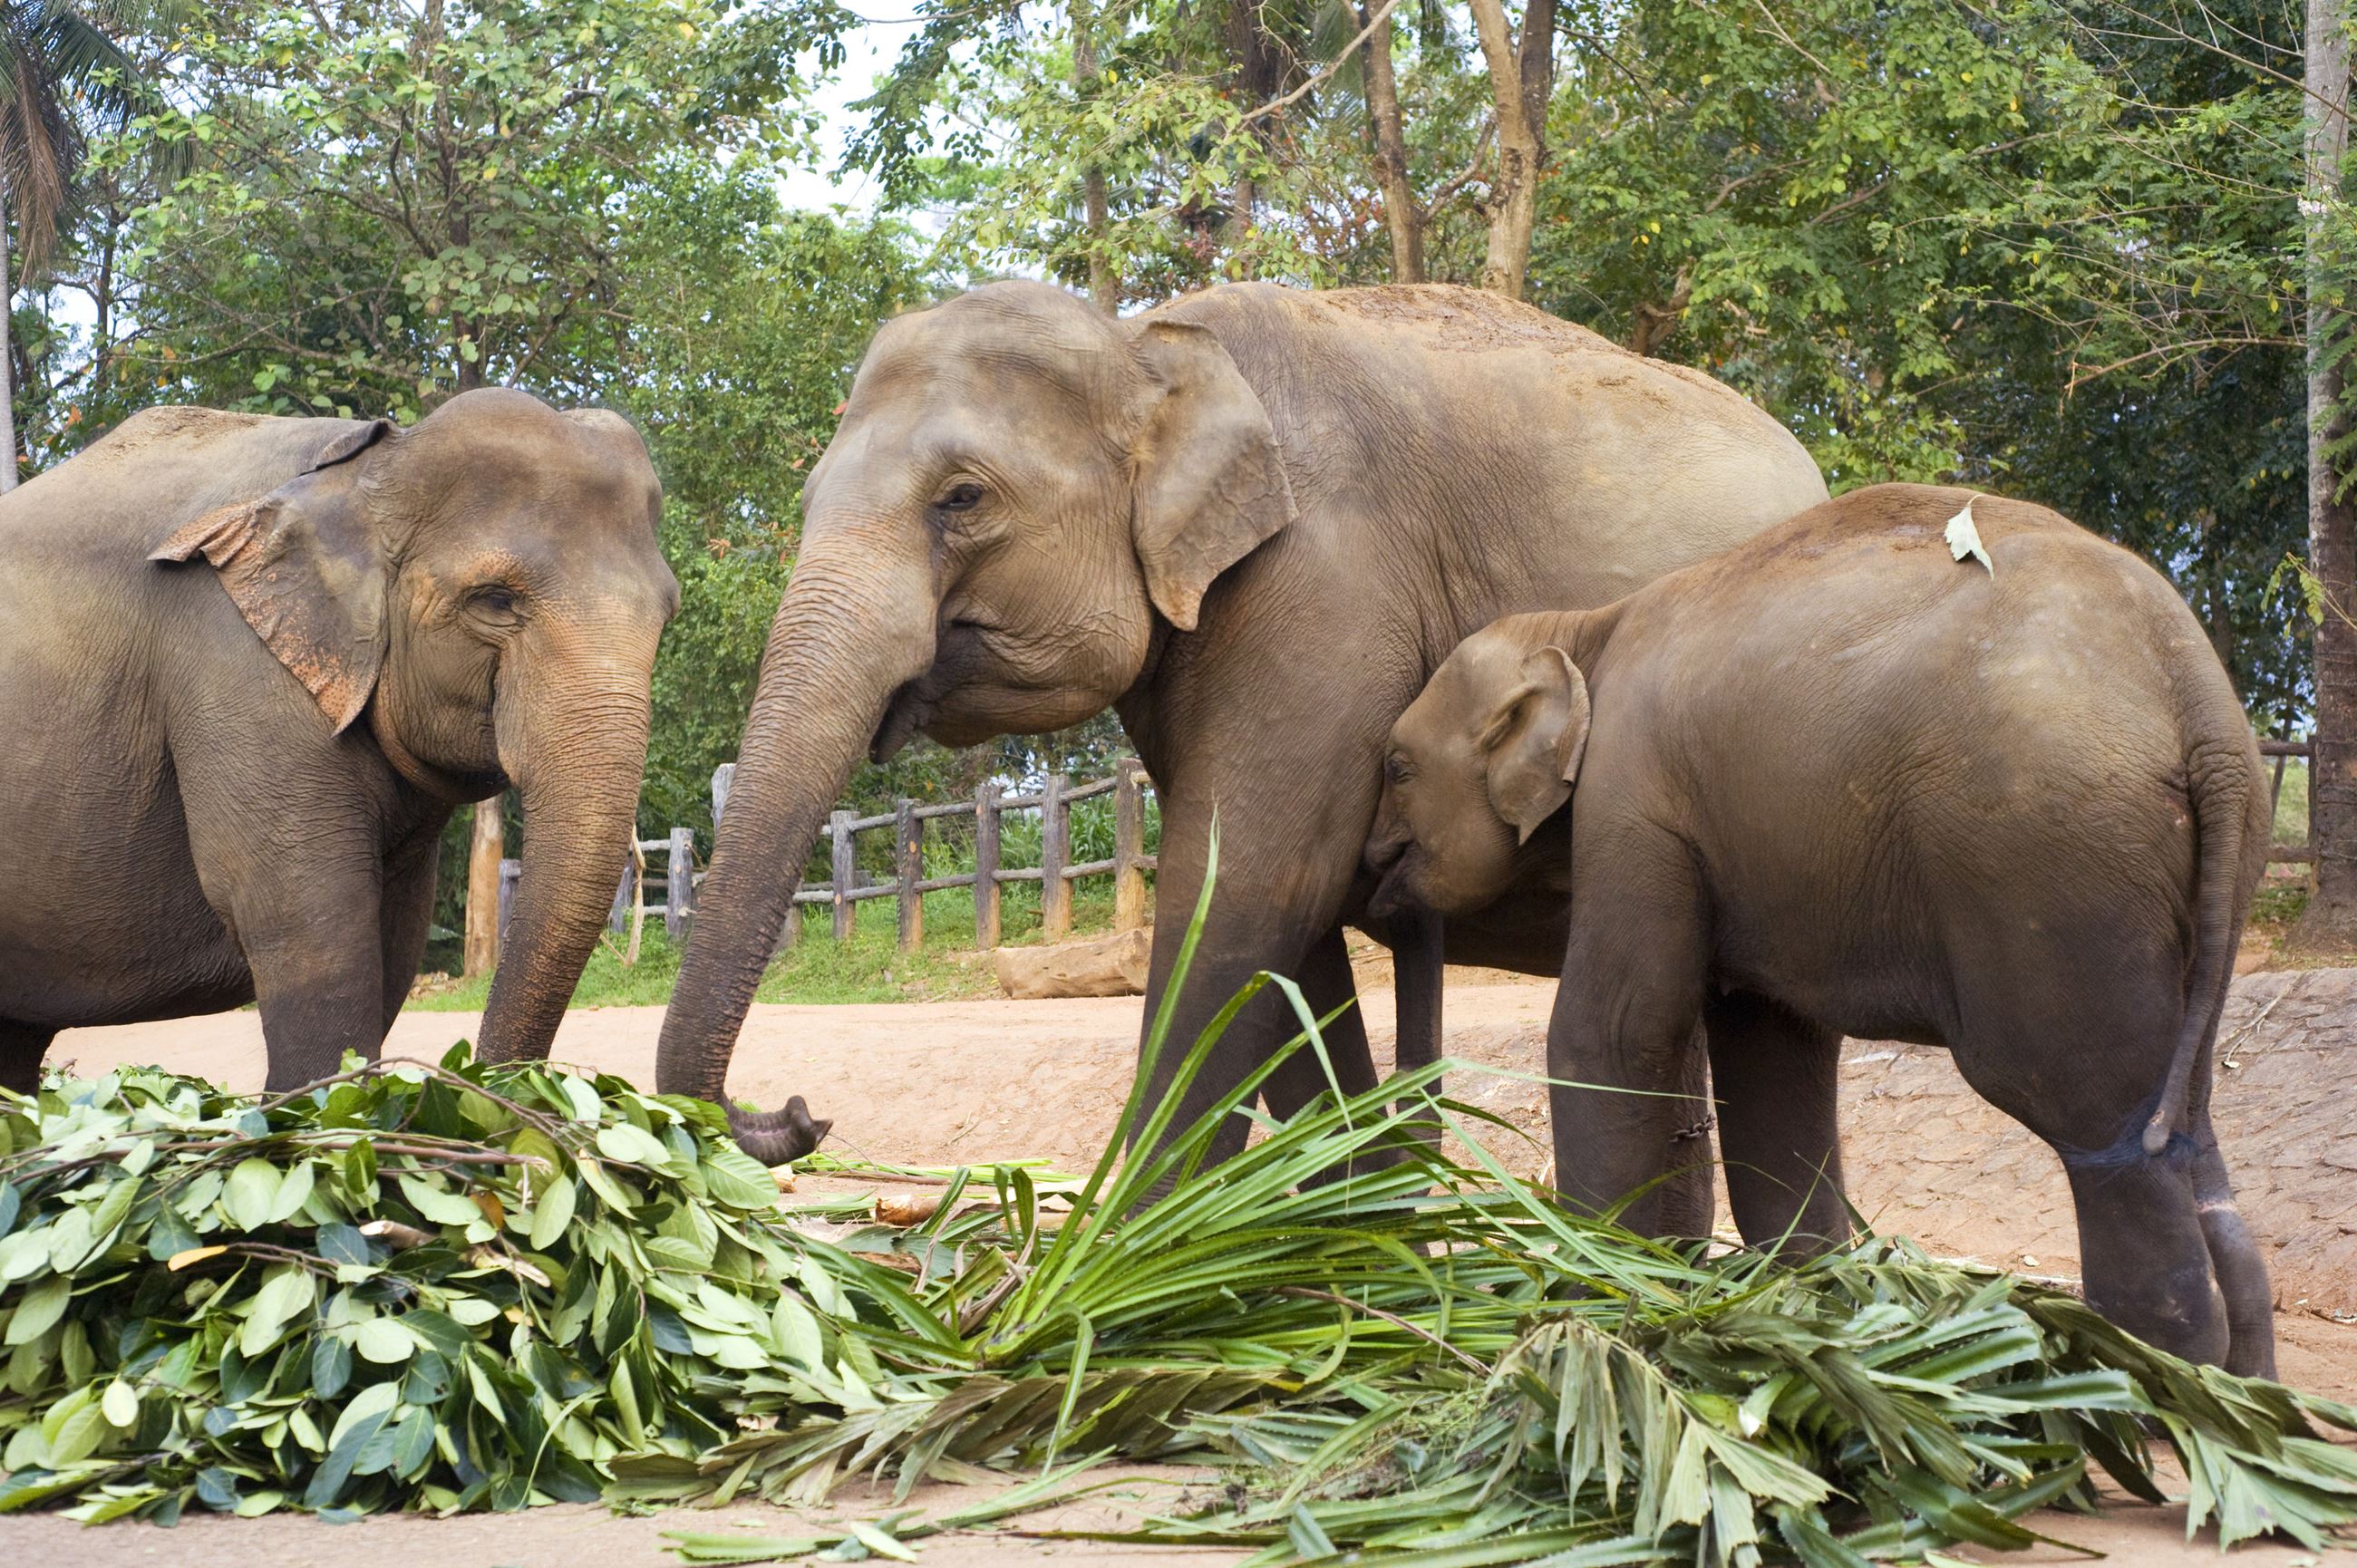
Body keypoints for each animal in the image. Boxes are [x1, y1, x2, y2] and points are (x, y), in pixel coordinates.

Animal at [0, 389, 679, 1092]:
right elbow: (310, 929)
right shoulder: (236, 668)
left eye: (668, 613)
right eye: (494, 601)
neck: (364, 462)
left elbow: (395, 938)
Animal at [654, 278, 1829, 1175]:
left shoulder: (1324, 582)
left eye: (961, 499)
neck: (1146, 342)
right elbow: (1288, 930)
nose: (802, 1111)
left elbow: (1247, 886)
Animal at [1363, 483, 2274, 1375]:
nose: (1374, 868)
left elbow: (1614, 1034)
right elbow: (1770, 1049)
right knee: (2190, 1130)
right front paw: (1805, 1305)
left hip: (2050, 865)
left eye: (1398, 769)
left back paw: (2153, 1376)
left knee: (2093, 1122)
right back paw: (2242, 1388)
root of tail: (2197, 697)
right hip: (2197, 882)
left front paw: (1588, 1307)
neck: (1582, 629)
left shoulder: (1634, 803)